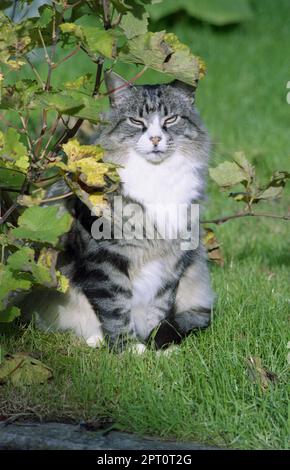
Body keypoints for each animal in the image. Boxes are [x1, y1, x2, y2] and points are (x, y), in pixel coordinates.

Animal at [23, 72, 215, 352]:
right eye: (136, 121)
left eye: (170, 119)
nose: (155, 139)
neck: (156, 177)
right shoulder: (105, 258)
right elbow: (115, 307)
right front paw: (130, 349)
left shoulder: (172, 261)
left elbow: (159, 307)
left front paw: (156, 347)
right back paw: (95, 340)